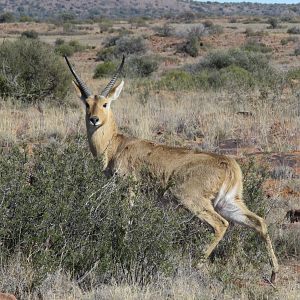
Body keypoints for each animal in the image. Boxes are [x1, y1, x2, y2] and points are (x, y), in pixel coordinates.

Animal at [63, 55, 278, 282]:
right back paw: (274, 273)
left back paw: (198, 265)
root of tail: (229, 164)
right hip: (228, 203)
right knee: (259, 222)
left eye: (105, 103)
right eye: (87, 104)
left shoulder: (128, 189)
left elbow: (126, 219)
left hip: (191, 200)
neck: (115, 145)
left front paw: (122, 245)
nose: (94, 119)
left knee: (221, 224)